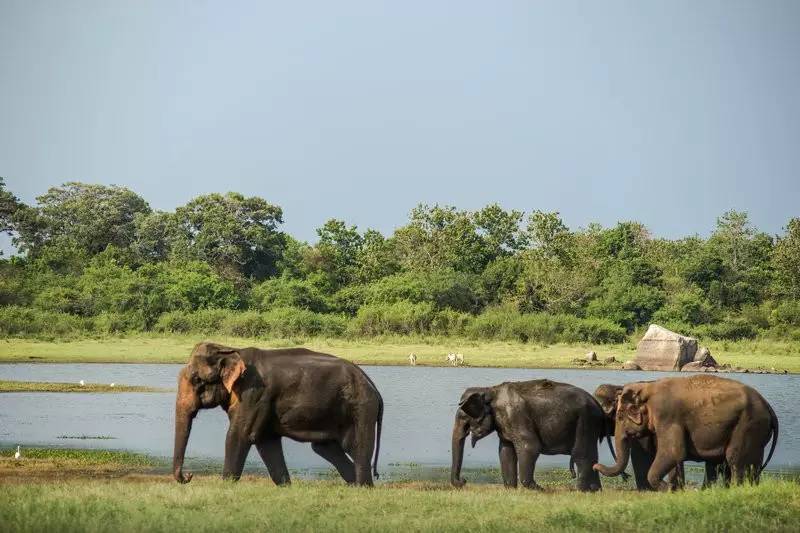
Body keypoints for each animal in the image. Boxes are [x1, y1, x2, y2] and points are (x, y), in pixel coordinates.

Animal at [173, 342, 384, 486]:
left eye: (197, 380)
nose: (189, 476)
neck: (230, 349)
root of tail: (372, 385)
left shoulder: (254, 394)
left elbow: (240, 435)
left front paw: (225, 485)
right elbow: (266, 441)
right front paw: (286, 486)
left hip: (361, 408)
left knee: (357, 448)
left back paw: (364, 487)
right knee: (326, 448)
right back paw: (355, 485)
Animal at [450, 379, 607, 491]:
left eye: (464, 420)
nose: (463, 481)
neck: (491, 390)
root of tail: (597, 404)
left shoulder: (516, 415)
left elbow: (529, 446)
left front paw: (538, 489)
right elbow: (505, 451)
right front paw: (510, 488)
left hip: (586, 420)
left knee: (582, 455)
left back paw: (583, 490)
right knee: (591, 455)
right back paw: (595, 490)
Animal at [593, 375, 778, 490]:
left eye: (619, 416)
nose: (596, 466)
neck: (648, 388)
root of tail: (768, 406)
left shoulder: (667, 416)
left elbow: (673, 452)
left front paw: (668, 489)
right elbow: (675, 457)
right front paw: (676, 489)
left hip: (748, 425)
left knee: (735, 459)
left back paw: (736, 489)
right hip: (756, 432)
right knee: (751, 464)